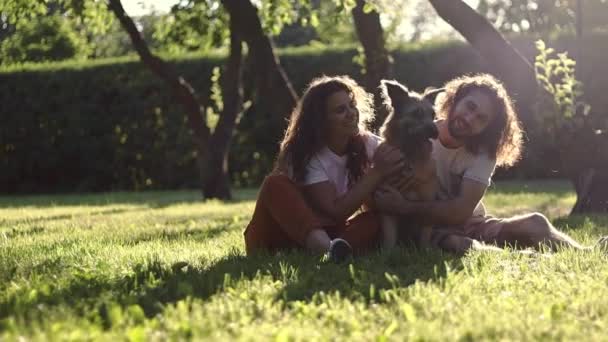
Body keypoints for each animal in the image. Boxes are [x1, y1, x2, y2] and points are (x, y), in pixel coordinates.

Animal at [378, 81, 444, 250]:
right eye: (417, 114)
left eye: (433, 115)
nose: (436, 132)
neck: (410, 157)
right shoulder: (387, 205)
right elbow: (389, 239)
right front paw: (388, 254)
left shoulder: (427, 205)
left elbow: (424, 239)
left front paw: (425, 252)